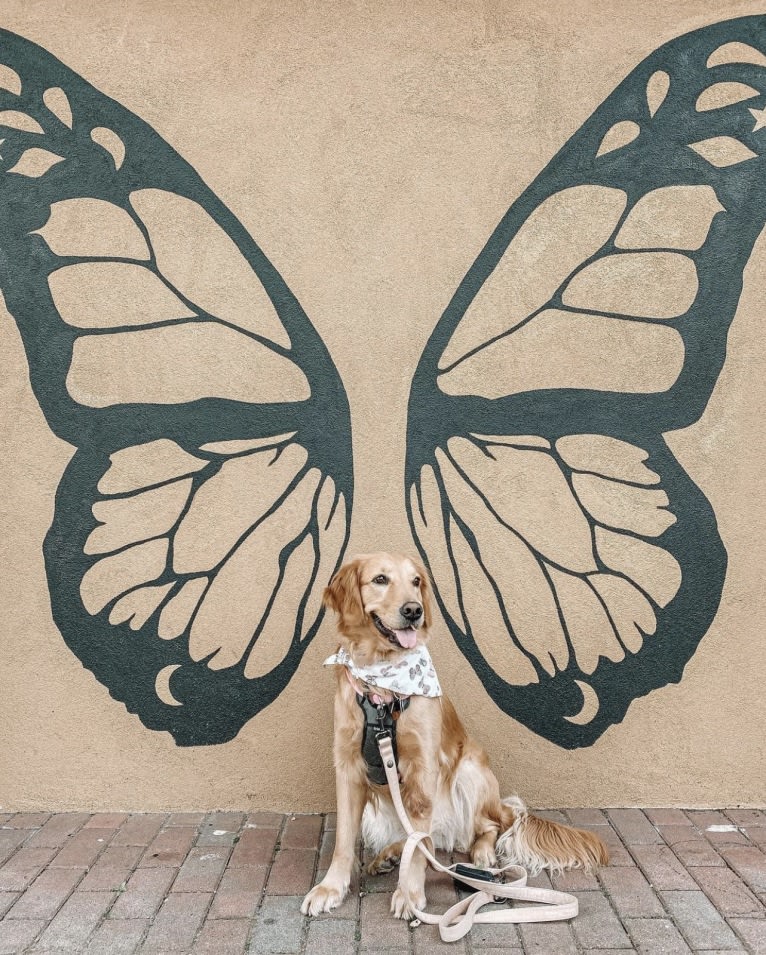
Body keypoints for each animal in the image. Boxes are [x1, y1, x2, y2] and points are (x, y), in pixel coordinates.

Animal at [304, 552, 608, 920]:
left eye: (416, 581)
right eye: (380, 579)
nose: (414, 610)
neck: (382, 683)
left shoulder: (423, 768)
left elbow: (419, 844)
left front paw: (410, 893)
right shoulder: (348, 767)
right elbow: (344, 842)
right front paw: (331, 888)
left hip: (470, 771)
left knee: (479, 828)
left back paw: (482, 854)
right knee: (431, 839)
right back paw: (390, 854)